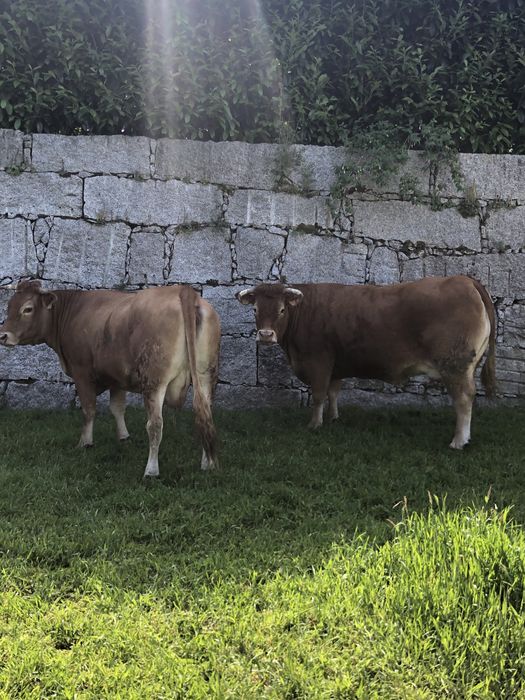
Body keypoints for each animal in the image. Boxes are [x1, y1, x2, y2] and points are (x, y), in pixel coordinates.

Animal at [0, 281, 220, 477]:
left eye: (27, 309)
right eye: (9, 306)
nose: (3, 336)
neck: (73, 311)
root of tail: (183, 291)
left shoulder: (81, 373)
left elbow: (89, 410)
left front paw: (85, 442)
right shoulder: (117, 377)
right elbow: (117, 408)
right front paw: (123, 437)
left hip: (154, 382)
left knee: (155, 425)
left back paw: (151, 470)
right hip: (206, 376)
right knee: (205, 415)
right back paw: (207, 463)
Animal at [236, 276, 496, 449]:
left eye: (281, 310)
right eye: (256, 309)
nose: (266, 335)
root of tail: (464, 280)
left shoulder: (318, 361)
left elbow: (318, 395)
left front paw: (315, 424)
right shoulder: (335, 365)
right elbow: (333, 392)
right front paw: (333, 418)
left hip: (455, 365)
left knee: (464, 398)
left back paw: (459, 441)